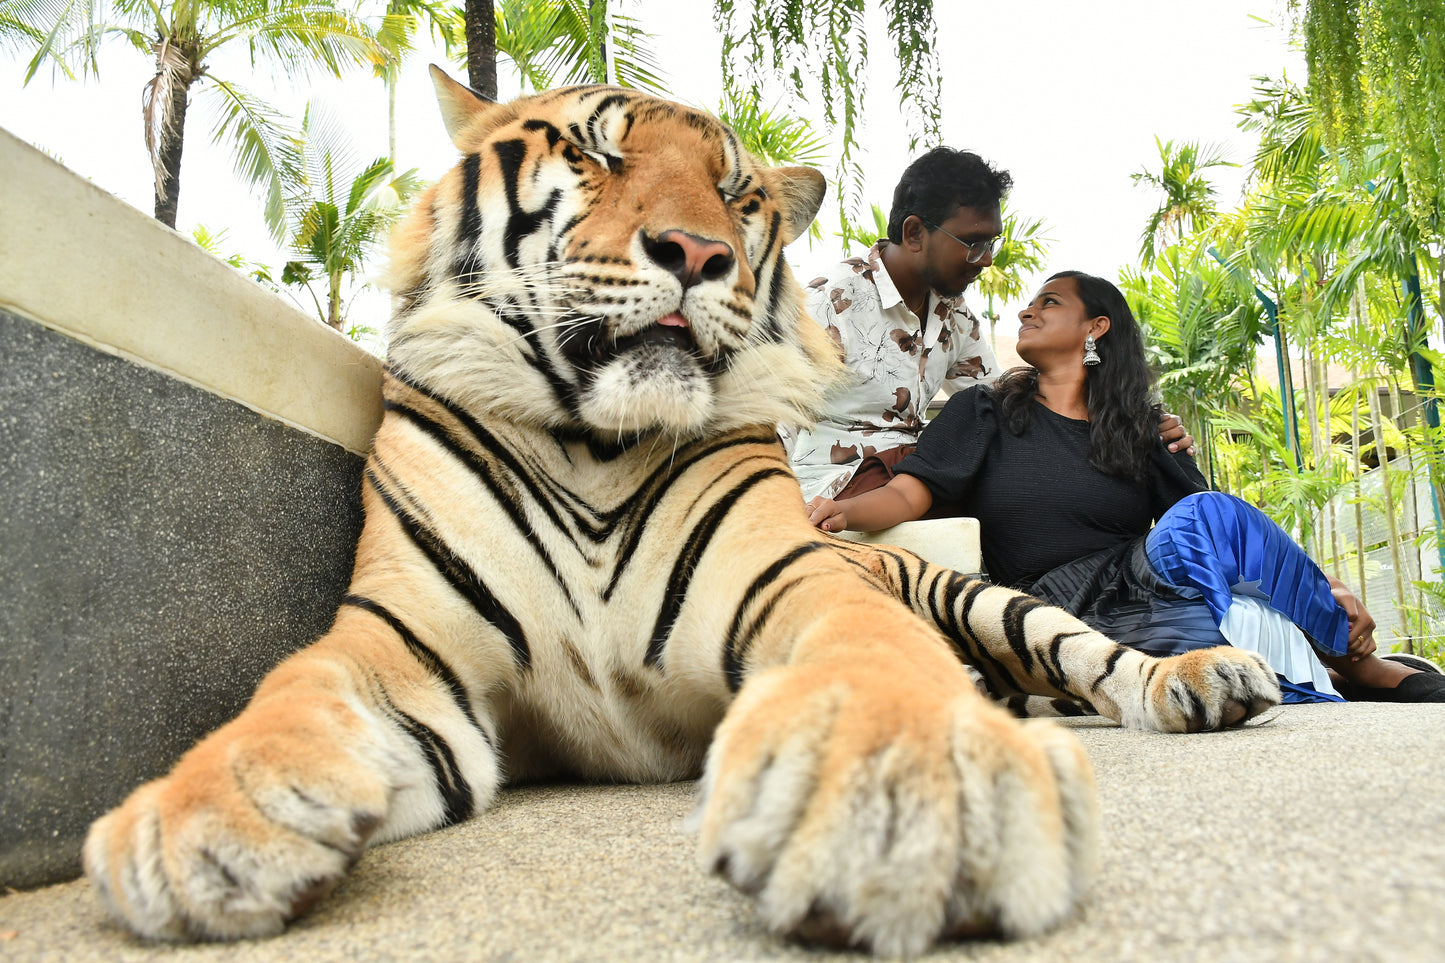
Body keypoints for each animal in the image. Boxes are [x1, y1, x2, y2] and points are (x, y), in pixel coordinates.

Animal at [82, 68, 1281, 958]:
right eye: (597, 154)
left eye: (735, 194)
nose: (697, 253)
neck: (592, 444)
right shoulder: (403, 636)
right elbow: (289, 692)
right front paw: (205, 817)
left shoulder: (787, 576)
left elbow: (872, 655)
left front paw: (901, 795)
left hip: (985, 599)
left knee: (1087, 653)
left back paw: (1205, 679)